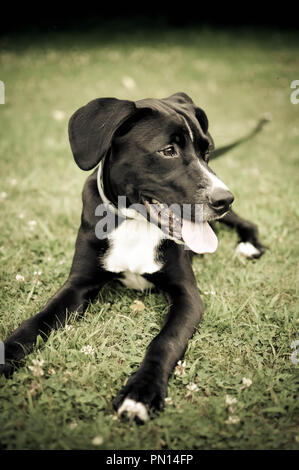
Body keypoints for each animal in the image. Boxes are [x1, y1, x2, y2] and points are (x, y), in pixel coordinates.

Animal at [0, 92, 264, 422]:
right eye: (167, 151)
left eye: (207, 151)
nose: (224, 199)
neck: (136, 222)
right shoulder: (77, 285)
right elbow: (36, 321)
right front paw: (6, 355)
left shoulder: (188, 296)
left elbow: (164, 341)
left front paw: (141, 392)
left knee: (246, 222)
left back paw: (249, 245)